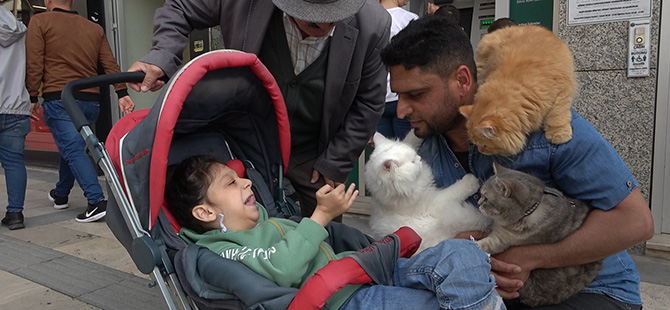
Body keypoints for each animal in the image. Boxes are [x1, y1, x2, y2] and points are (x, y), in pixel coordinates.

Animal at [478, 162, 604, 308]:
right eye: (481, 195)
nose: (478, 203)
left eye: (486, 198)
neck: (530, 212)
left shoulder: (501, 241)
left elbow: (483, 244)